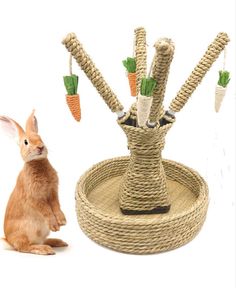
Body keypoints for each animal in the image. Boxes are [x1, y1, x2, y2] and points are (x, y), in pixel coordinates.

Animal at [0, 110, 67, 254]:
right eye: (26, 142)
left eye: (40, 138)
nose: (40, 147)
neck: (37, 163)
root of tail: (9, 241)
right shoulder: (34, 197)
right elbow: (46, 210)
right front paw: (55, 225)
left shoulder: (53, 192)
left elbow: (56, 205)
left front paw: (62, 221)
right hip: (24, 233)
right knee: (24, 247)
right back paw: (45, 249)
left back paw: (58, 242)